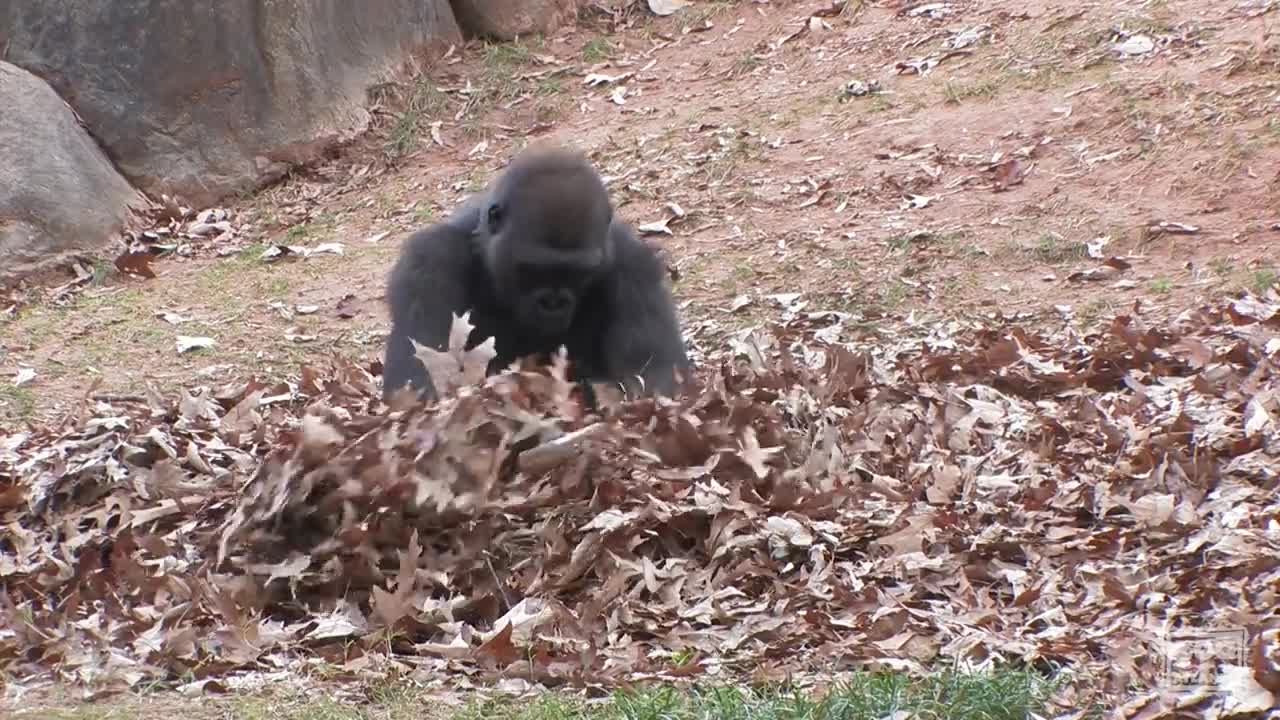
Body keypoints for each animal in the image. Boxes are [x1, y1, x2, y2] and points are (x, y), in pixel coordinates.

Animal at [378, 144, 691, 404]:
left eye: (579, 272)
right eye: (532, 268)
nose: (553, 303)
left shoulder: (634, 267)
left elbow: (658, 379)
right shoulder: (430, 263)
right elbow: (419, 383)